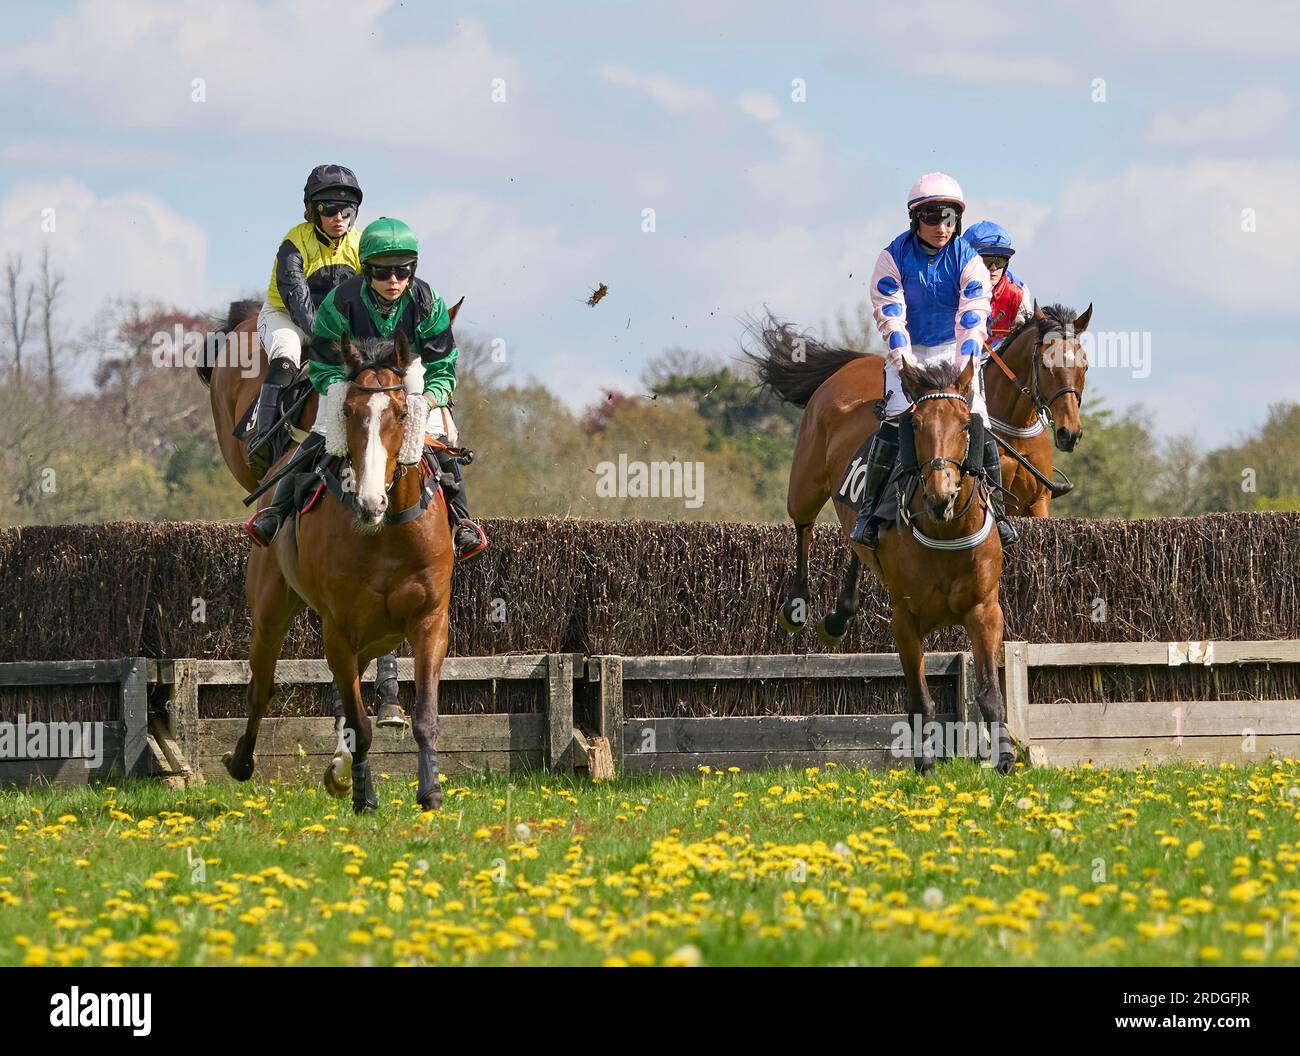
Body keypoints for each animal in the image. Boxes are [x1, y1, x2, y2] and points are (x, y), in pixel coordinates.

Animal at [226, 332, 460, 811]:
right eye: (348, 412)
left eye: (402, 413)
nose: (370, 501)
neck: (386, 533)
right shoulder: (338, 628)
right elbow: (358, 721)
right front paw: (364, 796)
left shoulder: (430, 620)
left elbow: (424, 715)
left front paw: (430, 792)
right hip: (271, 610)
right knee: (262, 685)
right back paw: (243, 761)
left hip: (379, 633)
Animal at [748, 301, 1092, 647]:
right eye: (1045, 366)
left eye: (1085, 366)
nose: (1069, 433)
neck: (1014, 426)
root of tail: (853, 363)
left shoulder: (1037, 502)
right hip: (806, 483)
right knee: (804, 524)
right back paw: (797, 605)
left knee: (857, 537)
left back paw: (841, 614)